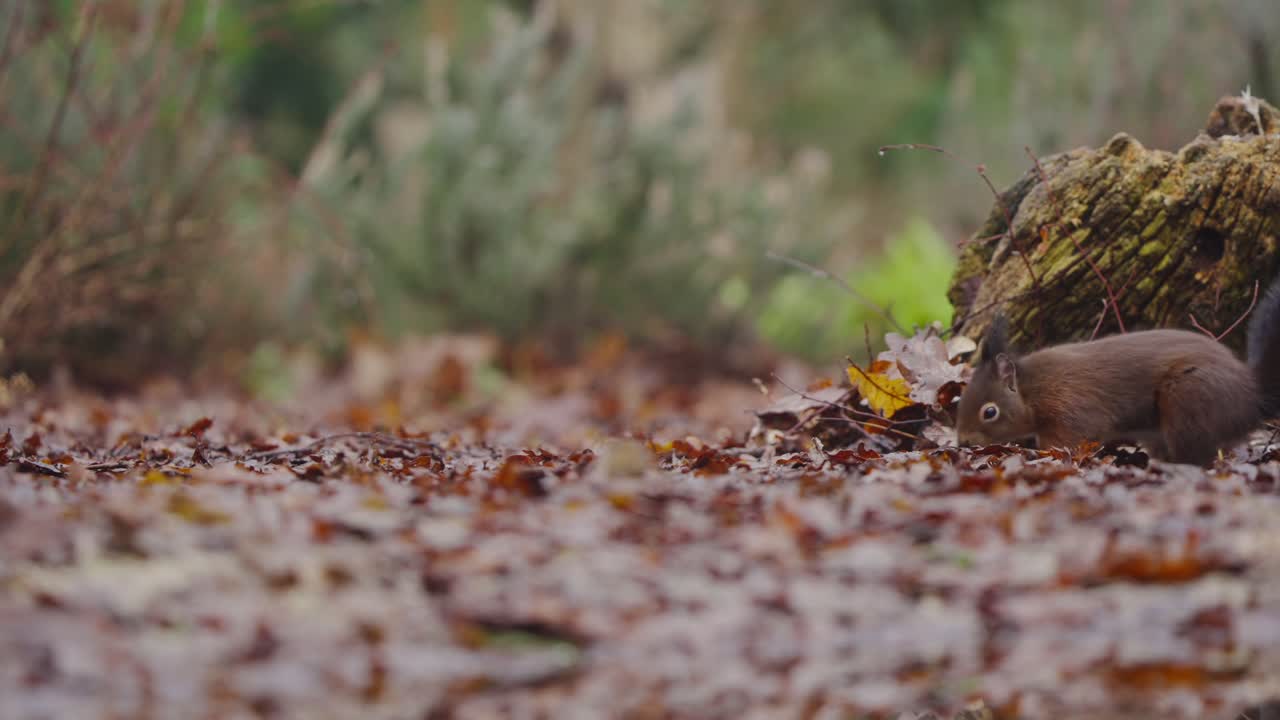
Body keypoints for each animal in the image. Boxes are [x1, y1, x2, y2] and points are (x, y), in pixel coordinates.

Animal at [956, 277, 1280, 466]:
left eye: (989, 412)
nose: (963, 443)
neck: (1032, 389)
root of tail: (1253, 396)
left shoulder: (1071, 411)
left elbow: (1065, 441)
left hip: (1190, 399)